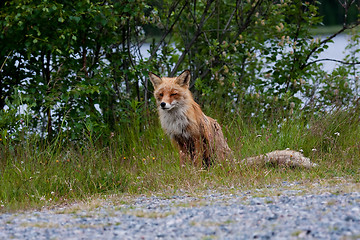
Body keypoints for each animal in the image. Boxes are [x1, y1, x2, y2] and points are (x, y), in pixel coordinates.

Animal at [148, 70, 316, 169]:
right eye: (161, 94)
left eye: (173, 94)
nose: (163, 104)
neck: (177, 120)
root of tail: (233, 162)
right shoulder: (179, 140)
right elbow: (184, 162)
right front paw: (186, 172)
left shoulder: (196, 138)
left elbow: (196, 161)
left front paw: (196, 172)